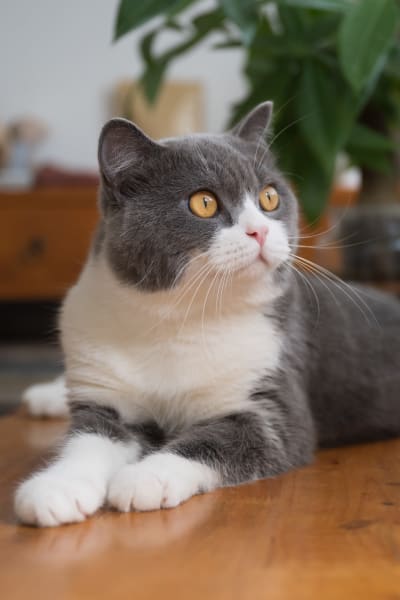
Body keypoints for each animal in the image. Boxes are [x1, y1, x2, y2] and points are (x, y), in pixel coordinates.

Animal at [14, 102, 400, 524]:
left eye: (269, 197)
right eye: (204, 203)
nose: (260, 231)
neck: (176, 319)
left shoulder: (273, 404)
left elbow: (213, 441)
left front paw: (144, 478)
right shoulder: (106, 395)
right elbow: (89, 439)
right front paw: (56, 489)